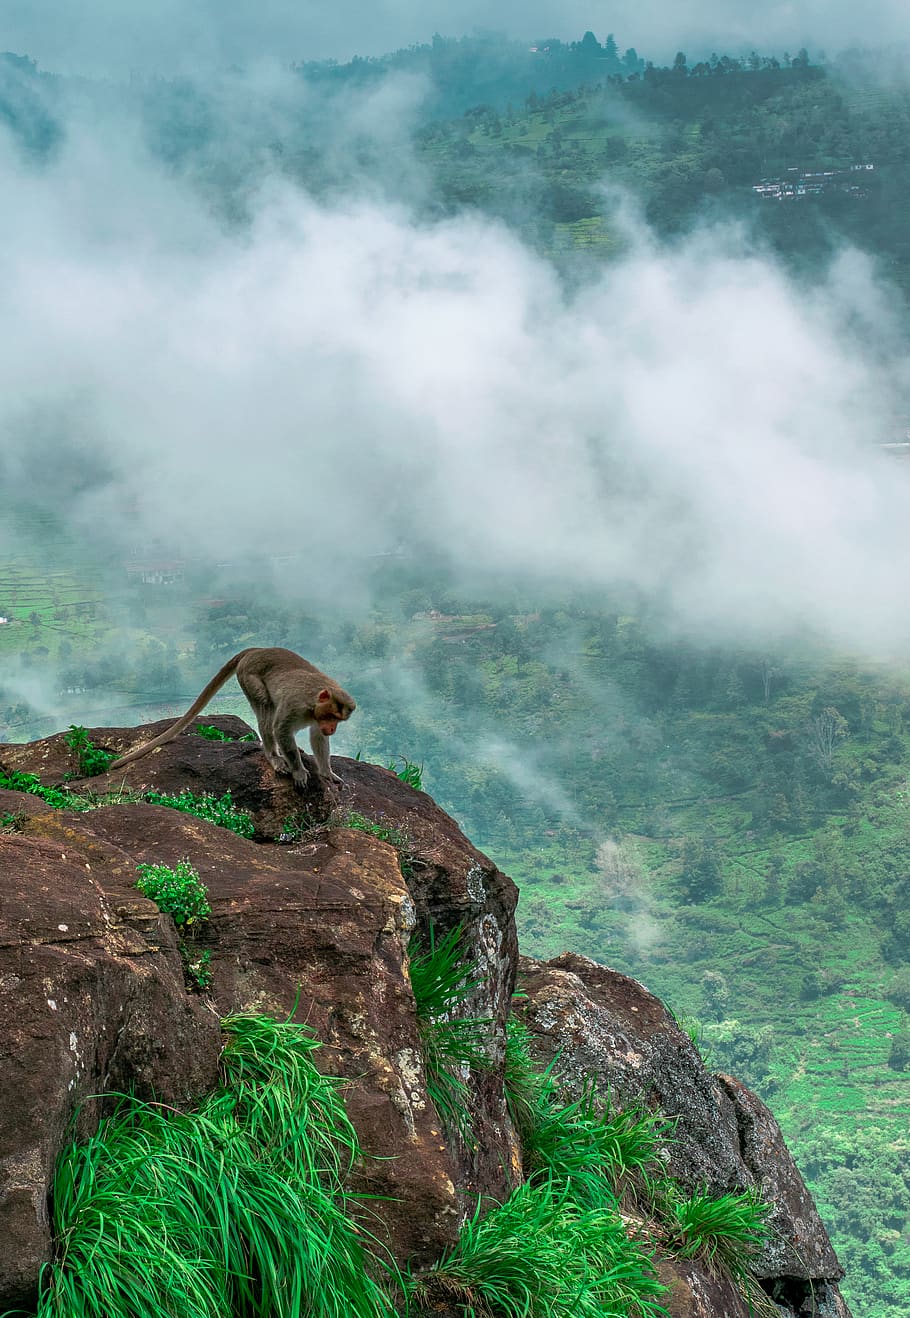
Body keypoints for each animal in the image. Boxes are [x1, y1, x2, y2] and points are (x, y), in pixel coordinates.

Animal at [109, 647, 355, 790]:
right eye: (332, 716)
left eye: (337, 721)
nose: (332, 729)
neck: (314, 702)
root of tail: (258, 649)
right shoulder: (296, 705)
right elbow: (282, 730)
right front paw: (299, 770)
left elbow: (317, 737)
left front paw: (326, 772)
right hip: (248, 677)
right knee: (266, 711)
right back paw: (273, 756)